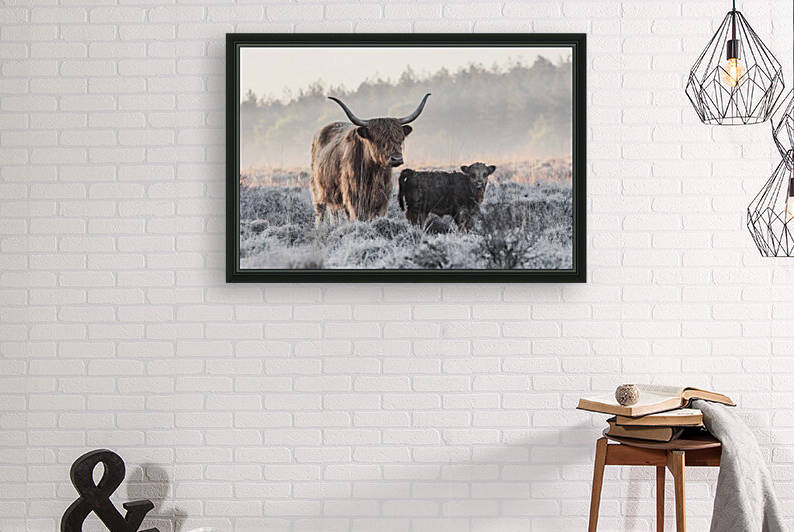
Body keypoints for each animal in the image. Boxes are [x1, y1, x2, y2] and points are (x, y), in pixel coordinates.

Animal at [310, 93, 431, 226]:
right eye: (378, 140)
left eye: (400, 138)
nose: (397, 159)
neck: (373, 173)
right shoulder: (354, 197)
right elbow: (359, 216)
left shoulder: (383, 199)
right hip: (317, 190)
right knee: (320, 212)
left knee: (335, 212)